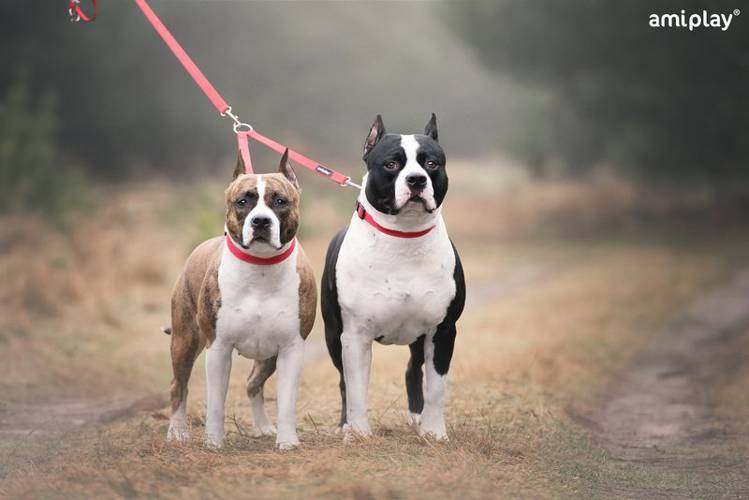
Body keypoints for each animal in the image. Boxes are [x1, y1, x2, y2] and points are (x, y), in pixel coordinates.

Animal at [165, 150, 316, 449]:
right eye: (243, 201)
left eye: (280, 201)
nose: (261, 221)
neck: (260, 269)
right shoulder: (219, 347)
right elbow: (215, 402)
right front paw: (213, 441)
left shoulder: (291, 348)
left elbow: (287, 401)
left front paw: (287, 441)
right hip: (184, 340)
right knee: (179, 385)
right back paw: (177, 431)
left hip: (268, 356)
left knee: (252, 384)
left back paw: (264, 426)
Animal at [321, 114, 465, 440]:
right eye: (391, 164)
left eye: (431, 163)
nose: (416, 180)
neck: (404, 237)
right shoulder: (354, 335)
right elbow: (356, 387)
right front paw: (359, 432)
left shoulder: (442, 330)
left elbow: (436, 387)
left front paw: (434, 432)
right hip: (333, 336)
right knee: (343, 382)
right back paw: (345, 424)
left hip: (419, 338)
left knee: (413, 368)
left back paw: (418, 417)